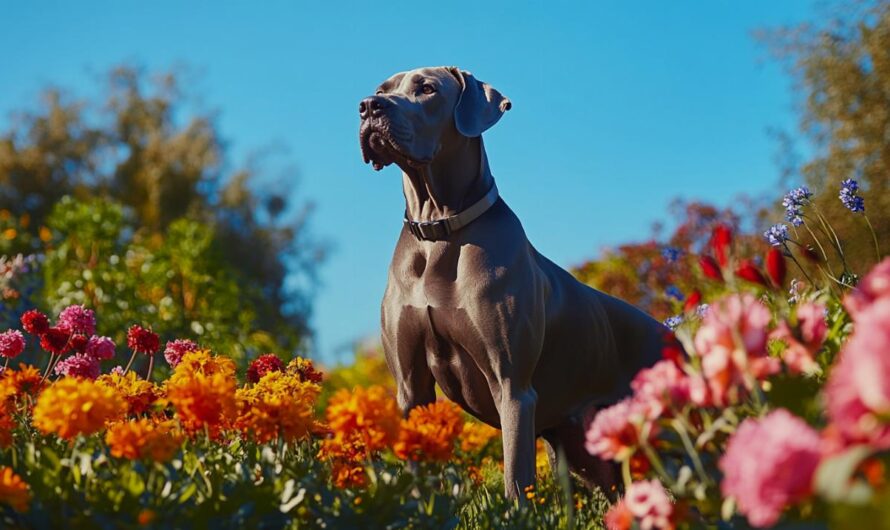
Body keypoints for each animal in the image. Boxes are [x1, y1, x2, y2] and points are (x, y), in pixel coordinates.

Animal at [358, 65, 664, 496]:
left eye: (427, 89)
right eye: (382, 89)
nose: (369, 107)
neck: (440, 231)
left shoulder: (513, 388)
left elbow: (516, 482)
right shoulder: (411, 389)